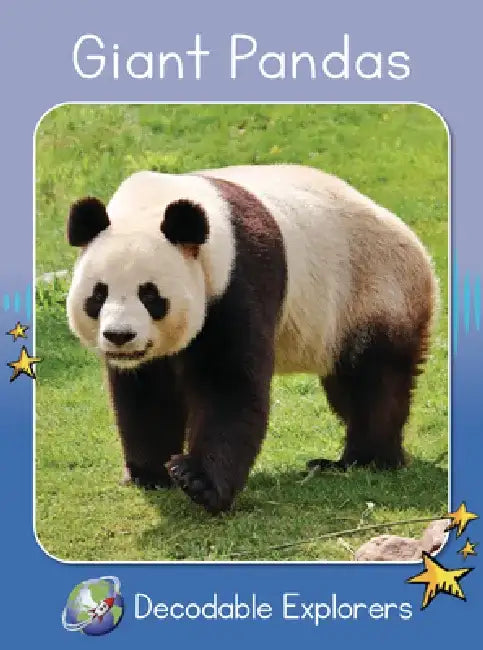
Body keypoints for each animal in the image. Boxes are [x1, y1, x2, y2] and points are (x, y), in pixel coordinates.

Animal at [66, 164, 437, 514]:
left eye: (150, 295)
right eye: (98, 295)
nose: (119, 336)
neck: (154, 203)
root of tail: (419, 249)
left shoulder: (238, 277)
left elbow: (229, 383)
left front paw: (197, 480)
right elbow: (148, 392)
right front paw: (149, 474)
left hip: (373, 290)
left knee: (374, 381)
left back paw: (372, 459)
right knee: (346, 385)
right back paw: (343, 461)